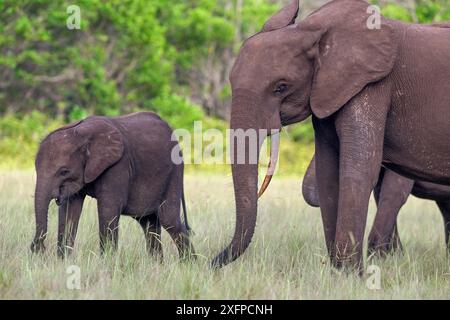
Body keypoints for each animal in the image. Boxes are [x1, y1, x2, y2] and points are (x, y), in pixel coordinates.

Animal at [29, 111, 195, 258]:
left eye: (64, 172)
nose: (38, 248)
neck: (81, 135)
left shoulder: (118, 165)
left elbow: (108, 210)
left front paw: (107, 263)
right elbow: (70, 211)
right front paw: (63, 261)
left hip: (174, 172)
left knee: (169, 220)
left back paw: (189, 264)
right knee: (148, 223)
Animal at [211, 0, 450, 272]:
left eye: (281, 87)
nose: (211, 261)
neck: (315, 31)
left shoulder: (373, 86)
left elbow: (360, 172)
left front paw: (353, 274)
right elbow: (328, 173)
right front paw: (340, 273)